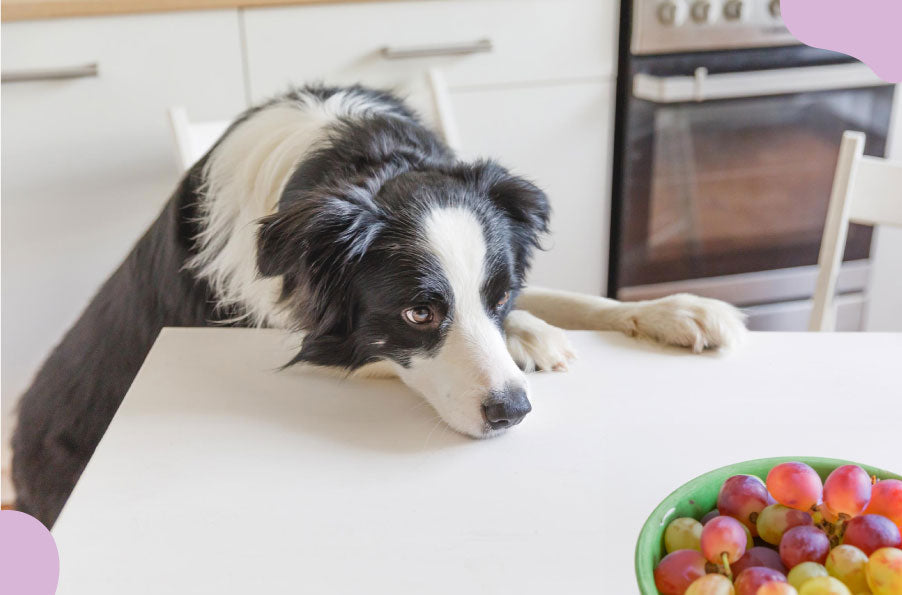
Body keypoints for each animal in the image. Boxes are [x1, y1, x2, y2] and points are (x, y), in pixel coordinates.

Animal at [12, 82, 748, 528]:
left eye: (498, 293)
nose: (512, 412)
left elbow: (570, 295)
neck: (354, 163)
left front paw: (678, 311)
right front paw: (533, 337)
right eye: (419, 314)